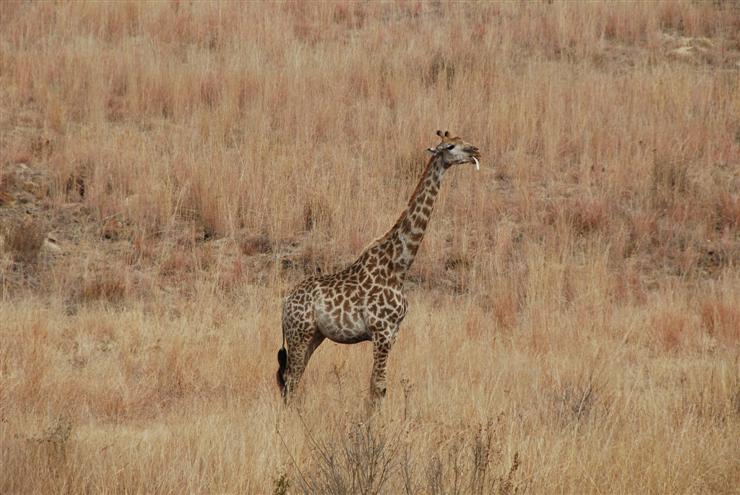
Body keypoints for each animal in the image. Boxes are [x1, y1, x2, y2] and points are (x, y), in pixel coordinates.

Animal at [278, 130, 480, 404]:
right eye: (450, 146)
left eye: (463, 140)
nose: (475, 151)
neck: (399, 265)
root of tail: (285, 303)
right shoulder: (382, 331)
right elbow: (379, 387)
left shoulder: (393, 332)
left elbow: (378, 385)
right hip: (300, 333)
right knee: (290, 380)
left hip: (314, 335)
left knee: (293, 379)